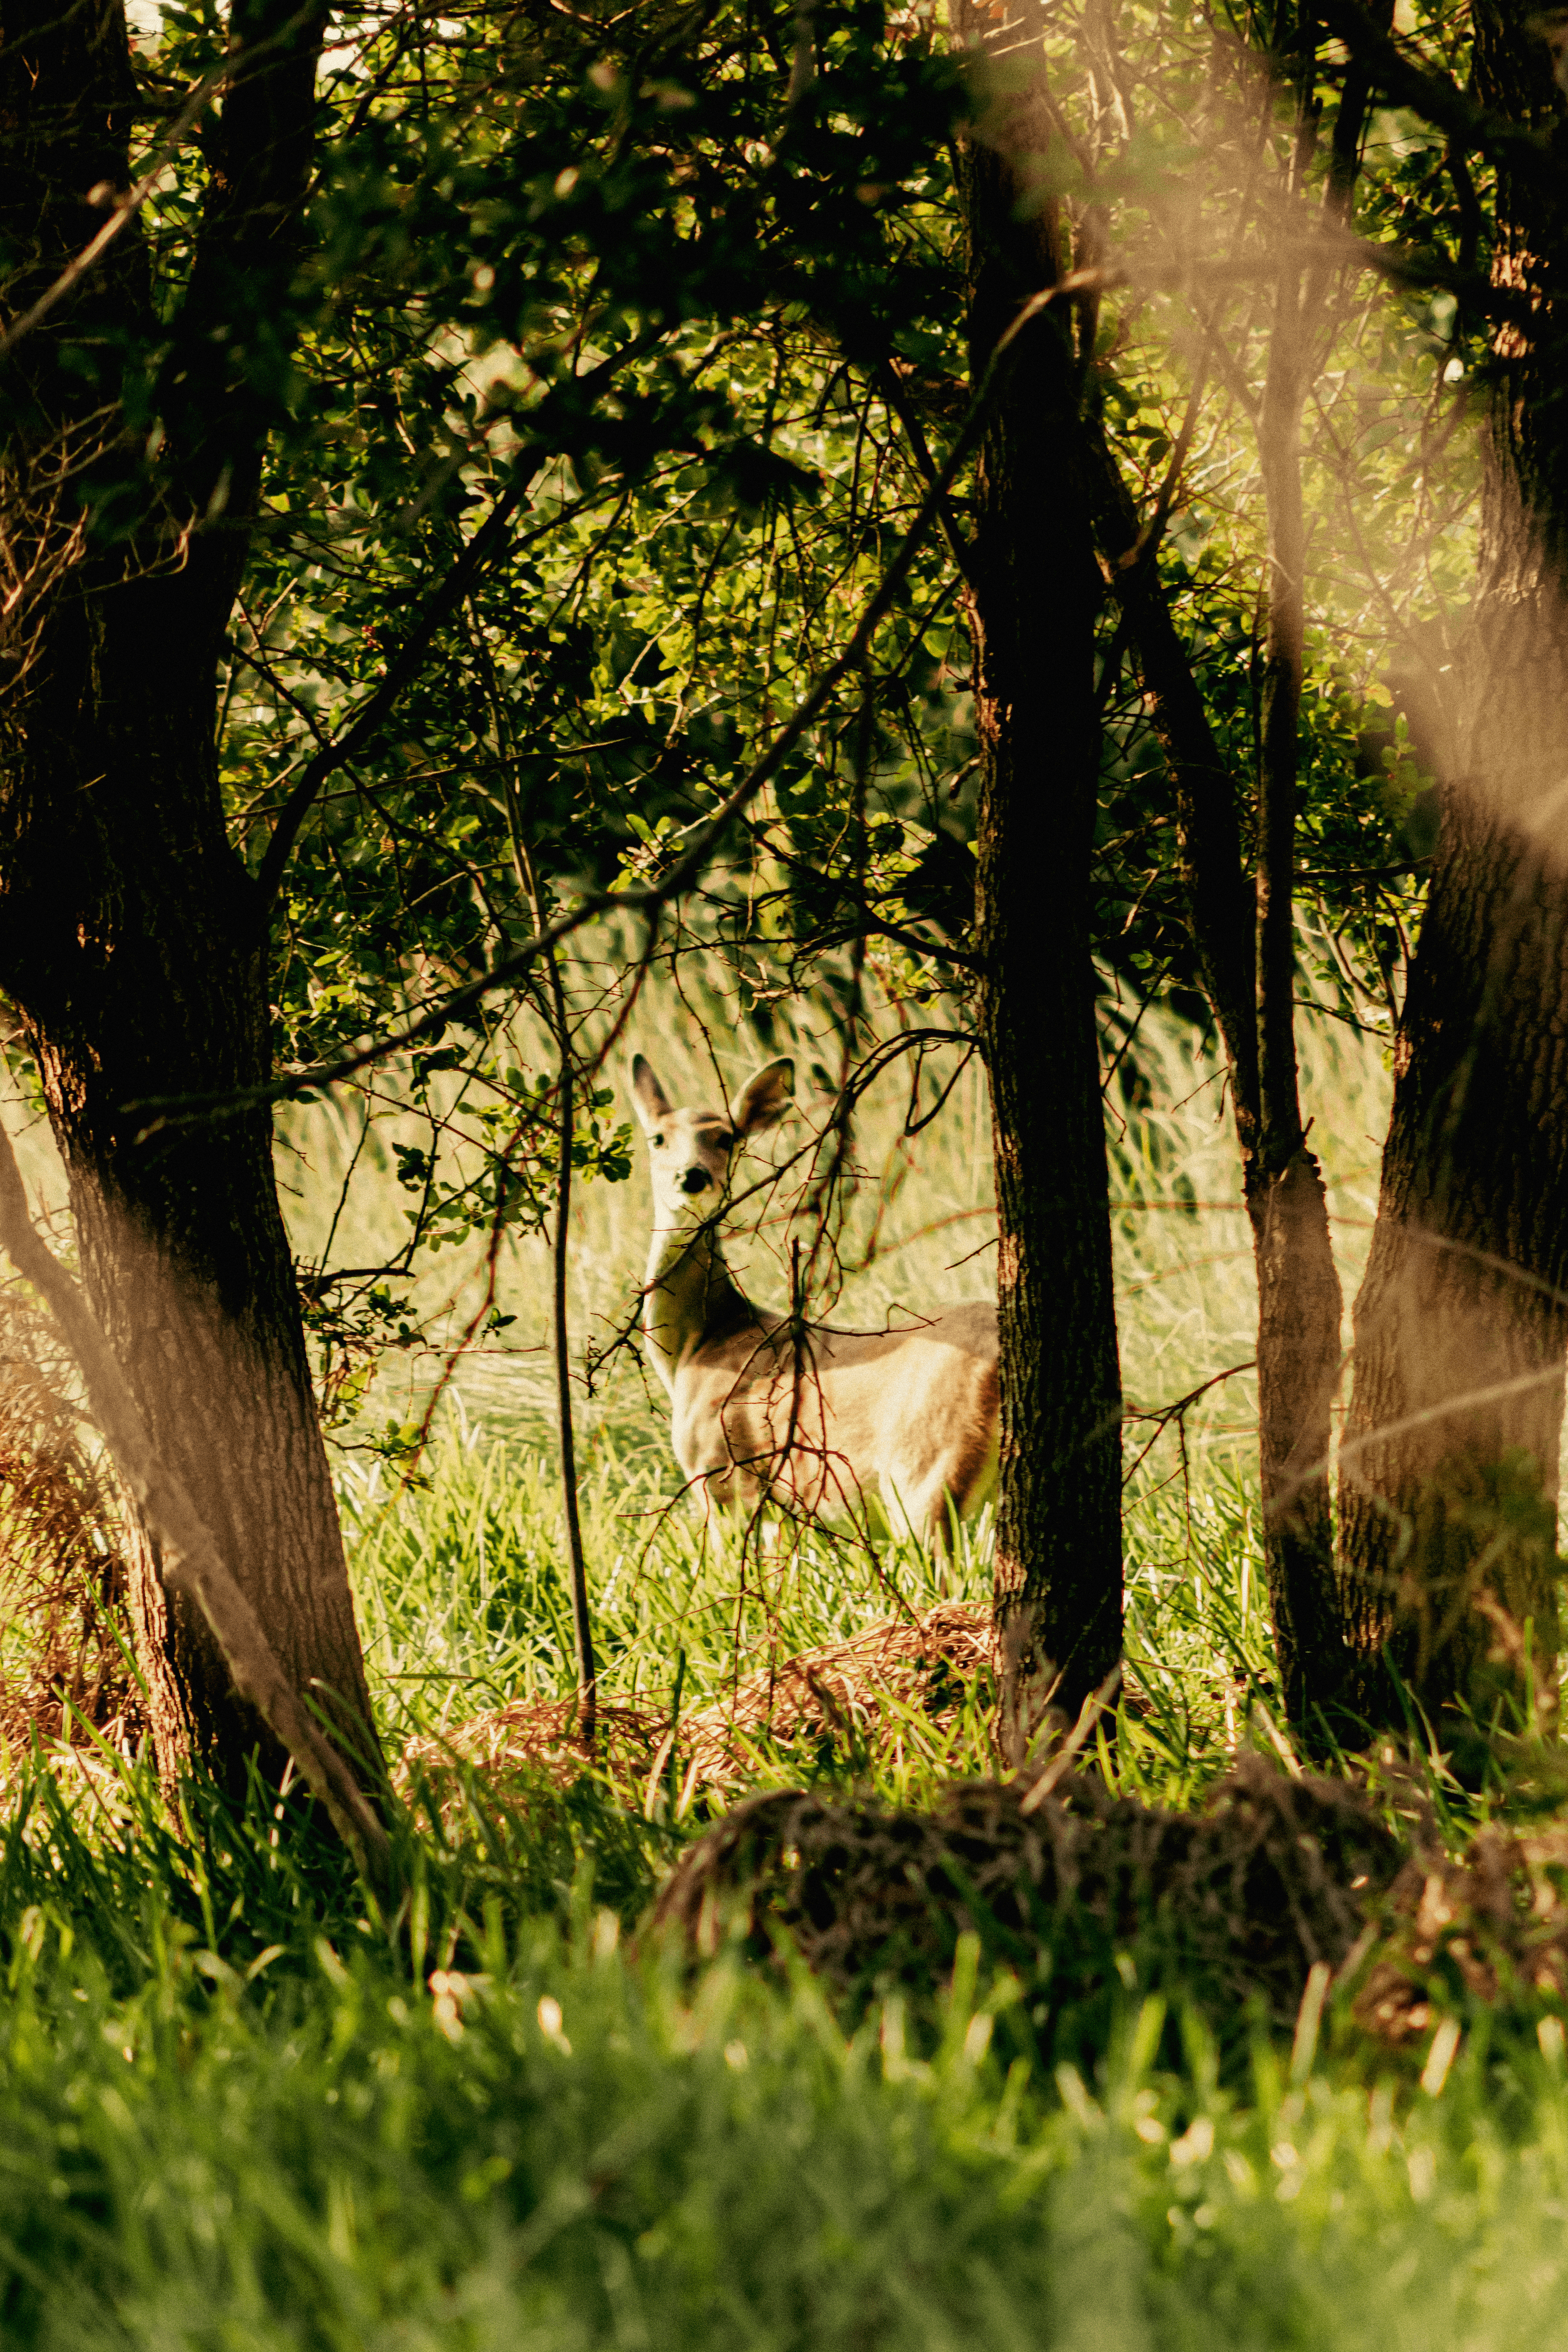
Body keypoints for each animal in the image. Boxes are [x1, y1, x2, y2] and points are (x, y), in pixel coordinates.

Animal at [631, 1052, 998, 1545]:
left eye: (727, 1137)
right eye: (658, 1138)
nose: (692, 1176)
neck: (701, 1343)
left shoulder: (722, 1475)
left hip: (926, 1472)